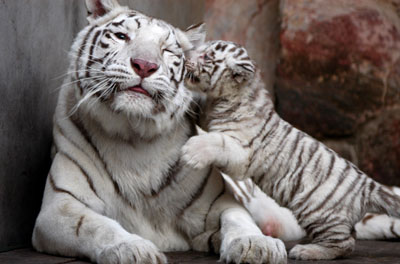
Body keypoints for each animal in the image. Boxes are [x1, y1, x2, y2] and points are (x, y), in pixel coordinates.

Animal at [31, 0, 288, 264]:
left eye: (167, 50)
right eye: (122, 36)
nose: (145, 65)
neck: (134, 136)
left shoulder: (221, 200)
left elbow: (238, 218)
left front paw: (256, 245)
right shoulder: (61, 205)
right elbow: (96, 225)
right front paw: (133, 248)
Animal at [183, 39, 400, 260]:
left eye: (206, 56)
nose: (186, 55)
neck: (222, 99)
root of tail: (366, 186)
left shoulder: (242, 152)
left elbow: (217, 141)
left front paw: (191, 151)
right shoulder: (207, 114)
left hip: (319, 212)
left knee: (343, 243)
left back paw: (307, 251)